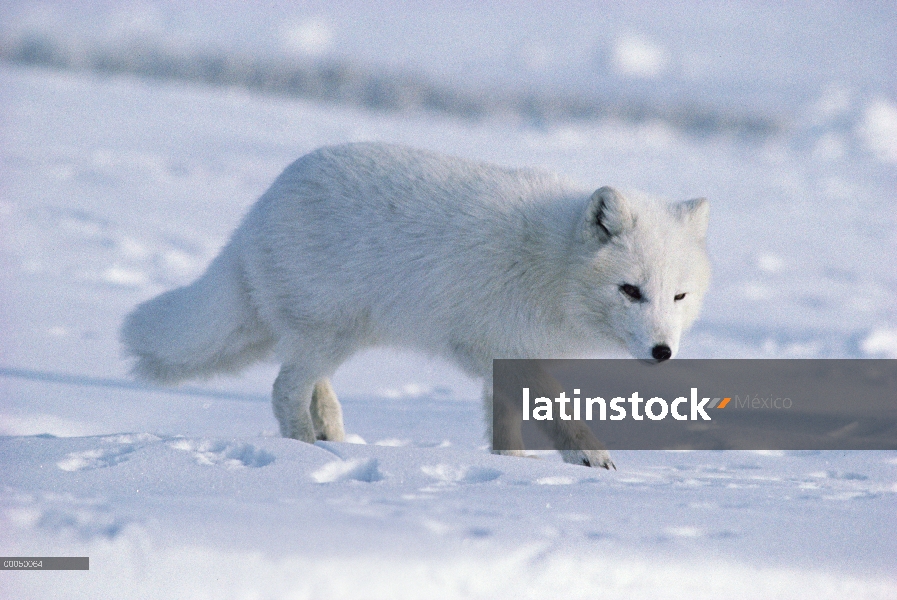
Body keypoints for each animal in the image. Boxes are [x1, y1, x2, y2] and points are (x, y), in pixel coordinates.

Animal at [121, 144, 708, 468]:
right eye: (630, 291)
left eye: (678, 296)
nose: (662, 352)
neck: (555, 263)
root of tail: (257, 211)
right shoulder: (503, 350)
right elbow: (554, 412)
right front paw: (589, 456)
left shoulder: (504, 358)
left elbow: (505, 423)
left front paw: (514, 467)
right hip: (329, 333)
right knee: (283, 388)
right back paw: (307, 451)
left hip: (331, 337)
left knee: (306, 383)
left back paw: (331, 433)